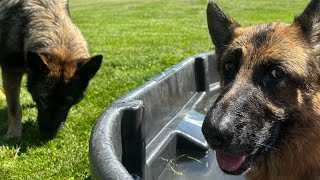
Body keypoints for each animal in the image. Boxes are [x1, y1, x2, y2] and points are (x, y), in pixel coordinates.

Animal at [0, 0, 102, 139]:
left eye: (67, 103)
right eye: (44, 99)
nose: (48, 136)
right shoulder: (10, 71)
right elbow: (14, 107)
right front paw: (14, 133)